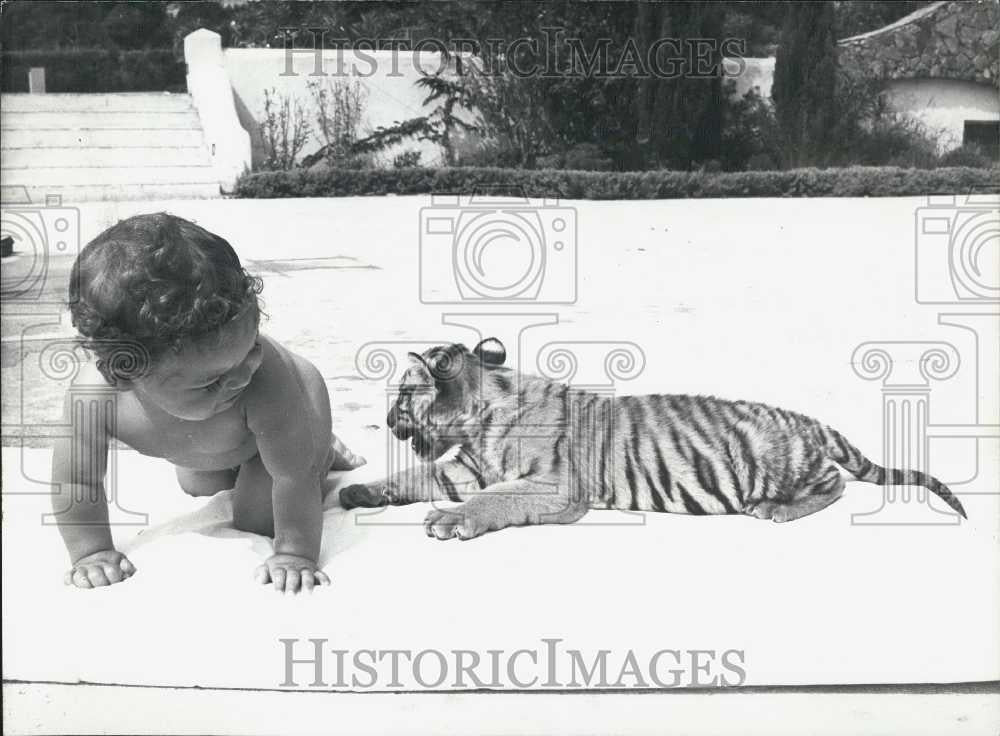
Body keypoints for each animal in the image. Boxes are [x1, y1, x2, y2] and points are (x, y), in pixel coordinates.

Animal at [339, 338, 967, 540]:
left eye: (403, 396)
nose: (387, 421)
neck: (481, 416)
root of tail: (805, 419)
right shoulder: (461, 467)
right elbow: (410, 476)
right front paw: (357, 491)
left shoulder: (554, 487)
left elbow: (494, 499)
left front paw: (450, 520)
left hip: (774, 459)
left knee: (835, 481)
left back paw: (776, 511)